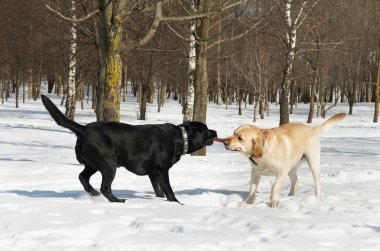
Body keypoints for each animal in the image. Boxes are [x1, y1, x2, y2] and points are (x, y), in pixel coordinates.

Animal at [40, 95, 217, 203]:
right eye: (206, 129)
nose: (215, 132)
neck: (181, 137)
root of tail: (83, 129)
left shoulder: (153, 173)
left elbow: (158, 190)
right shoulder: (162, 170)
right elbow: (168, 189)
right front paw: (177, 203)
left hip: (93, 164)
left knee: (83, 177)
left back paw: (94, 194)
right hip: (109, 164)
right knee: (105, 187)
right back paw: (117, 201)